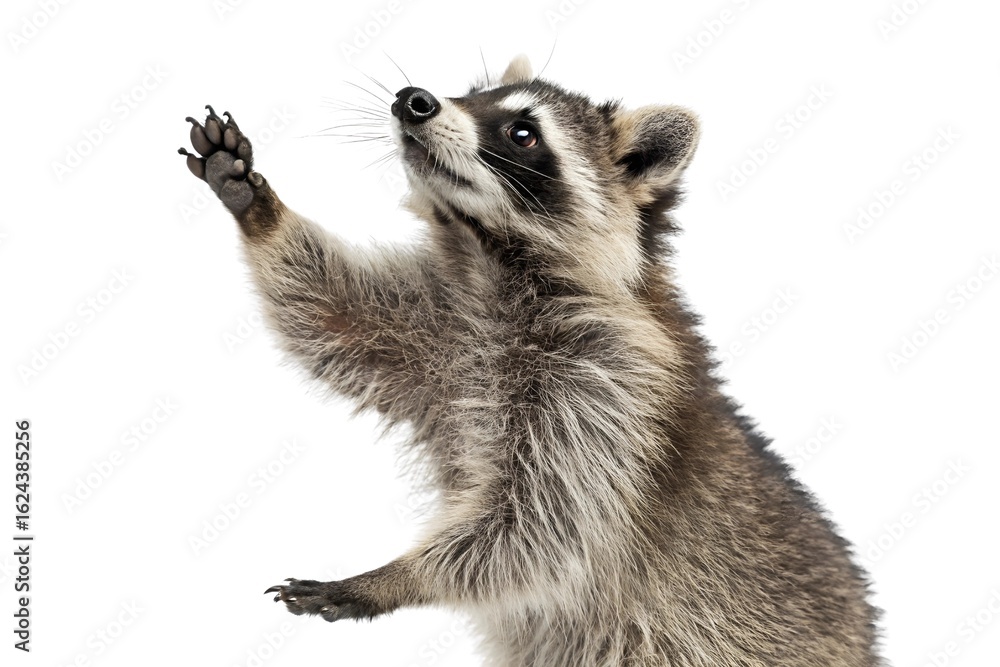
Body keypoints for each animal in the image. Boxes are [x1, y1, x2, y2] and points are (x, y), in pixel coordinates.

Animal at [179, 55, 882, 666]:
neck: (487, 260)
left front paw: (397, 577)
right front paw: (260, 209)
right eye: (473, 94)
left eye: (523, 132)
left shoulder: (611, 390)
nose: (414, 99)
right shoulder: (437, 333)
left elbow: (541, 527)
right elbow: (328, 313)